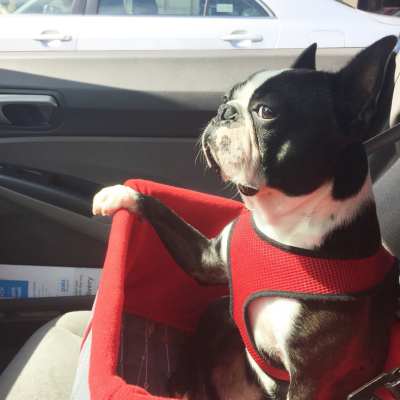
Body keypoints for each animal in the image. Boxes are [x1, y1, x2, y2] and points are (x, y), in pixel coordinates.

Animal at [93, 36, 396, 398]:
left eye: (266, 112)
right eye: (227, 98)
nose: (224, 112)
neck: (277, 225)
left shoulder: (311, 379)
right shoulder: (206, 260)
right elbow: (162, 209)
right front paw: (120, 194)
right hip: (218, 310)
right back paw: (183, 381)